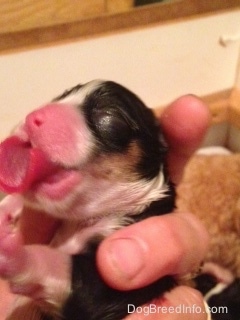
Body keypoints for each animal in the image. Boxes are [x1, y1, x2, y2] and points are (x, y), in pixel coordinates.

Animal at [0, 80, 176, 320]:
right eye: (60, 96)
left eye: (109, 116)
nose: (33, 117)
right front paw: (7, 207)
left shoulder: (119, 294)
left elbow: (66, 270)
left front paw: (14, 252)